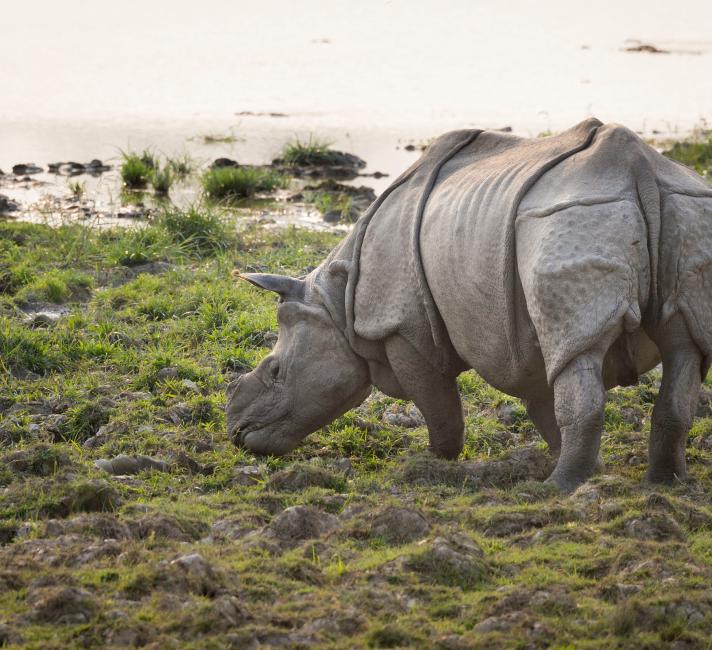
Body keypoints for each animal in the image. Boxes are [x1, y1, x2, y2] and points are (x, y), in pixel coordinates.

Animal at [227, 117, 712, 492]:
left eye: (275, 371)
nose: (235, 431)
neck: (336, 304)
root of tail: (640, 172)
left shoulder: (401, 328)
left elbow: (439, 406)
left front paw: (429, 467)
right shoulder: (521, 332)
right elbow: (540, 400)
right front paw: (592, 467)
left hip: (571, 217)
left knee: (582, 355)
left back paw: (557, 489)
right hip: (685, 210)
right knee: (684, 349)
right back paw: (664, 484)